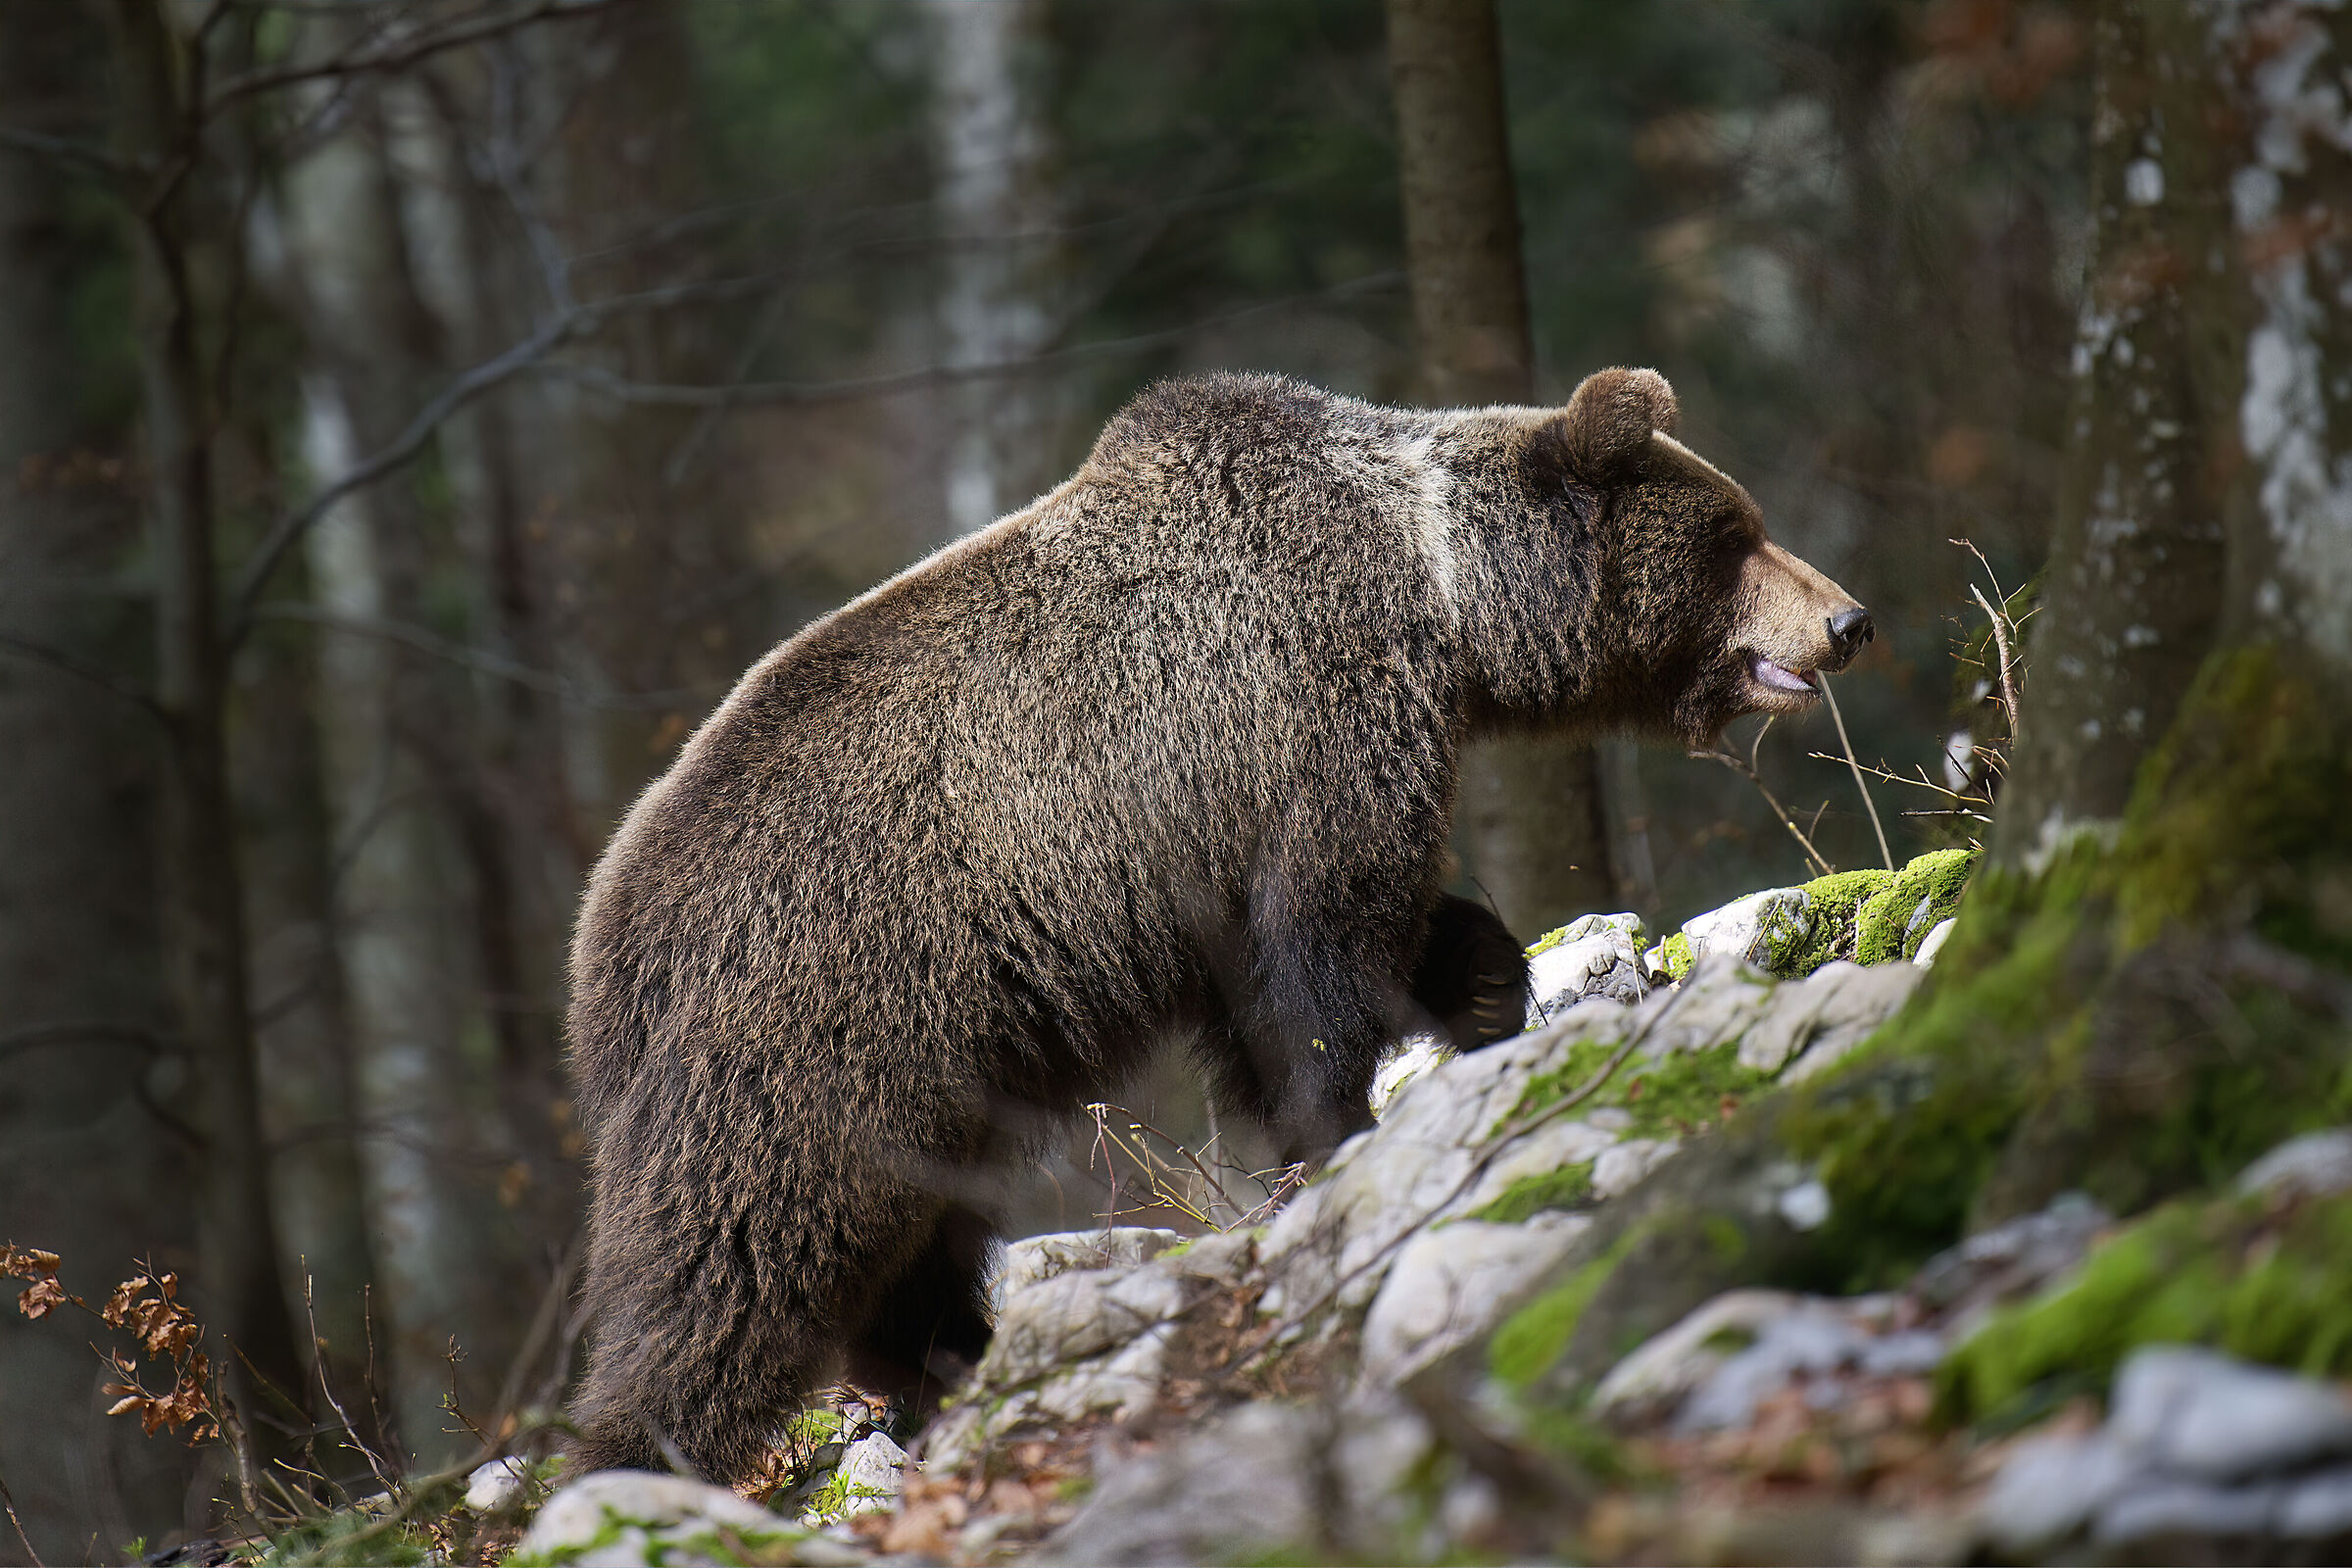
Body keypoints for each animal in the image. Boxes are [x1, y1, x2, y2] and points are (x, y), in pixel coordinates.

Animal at [565, 367, 1869, 1480]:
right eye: (1734, 536)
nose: (1849, 617)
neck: (1442, 598)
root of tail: (604, 939)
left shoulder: (1220, 850)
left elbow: (1306, 955)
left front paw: (1488, 977)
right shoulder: (1314, 715)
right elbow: (1324, 951)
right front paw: (1340, 1129)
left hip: (922, 1061)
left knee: (914, 1233)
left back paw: (952, 1357)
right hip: (823, 1015)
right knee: (740, 1257)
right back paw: (645, 1451)